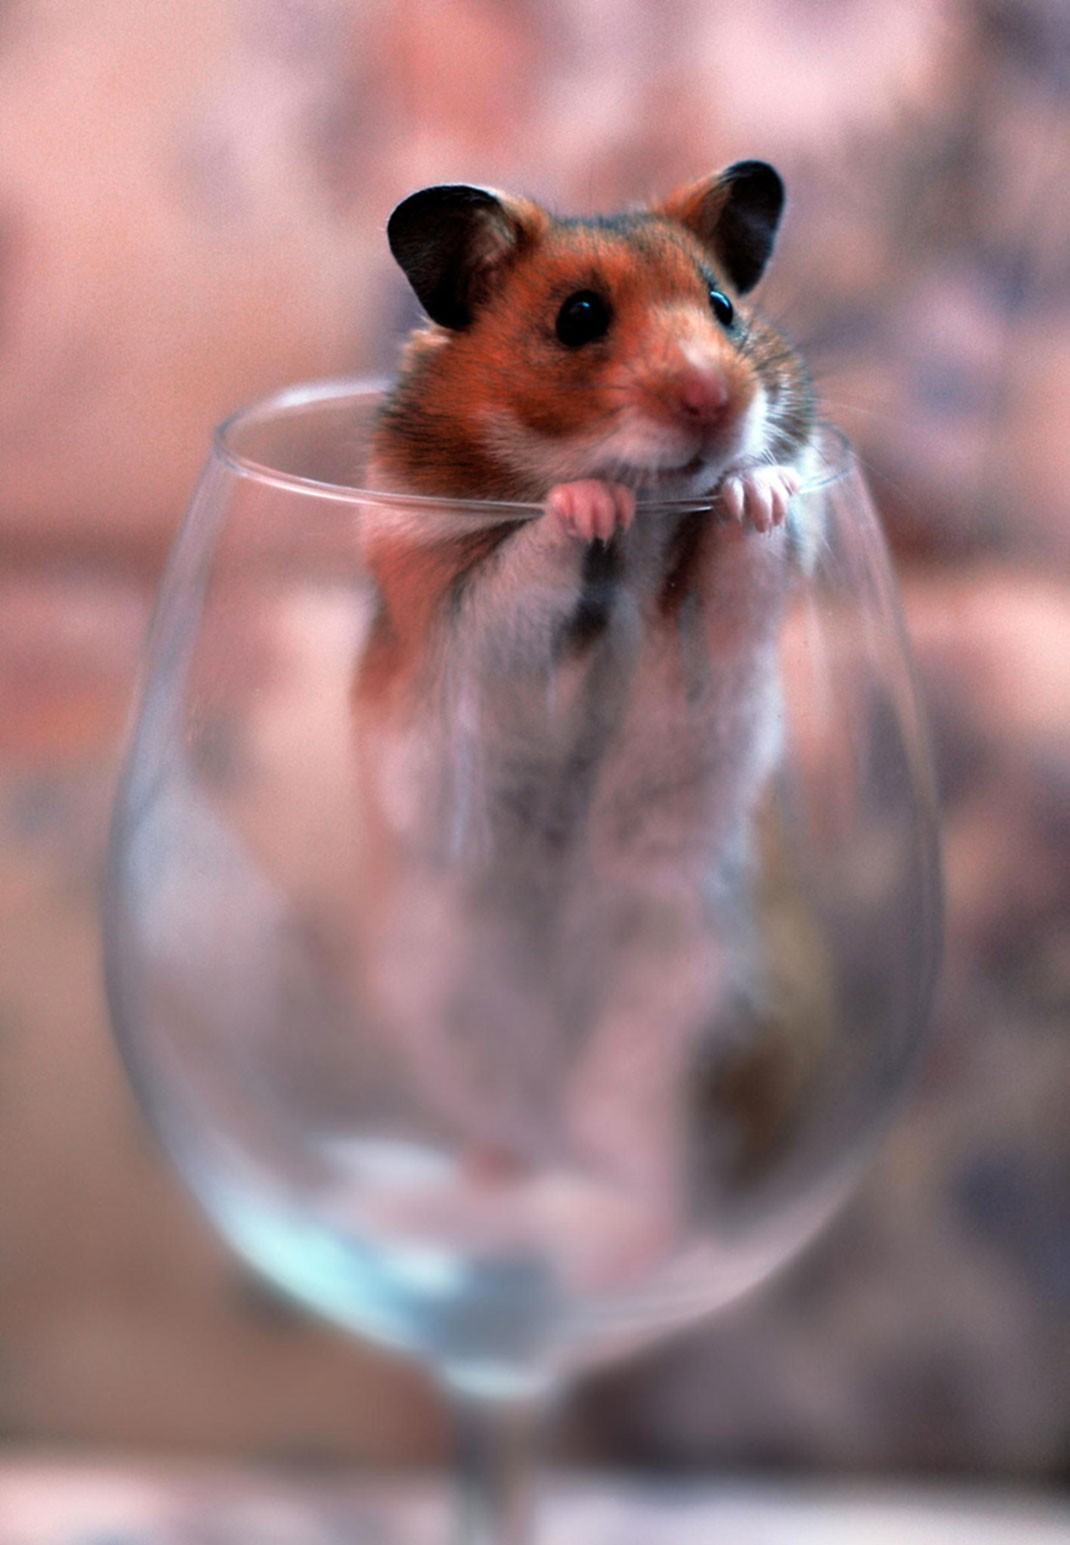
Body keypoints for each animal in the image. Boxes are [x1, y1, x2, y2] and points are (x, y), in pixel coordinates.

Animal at [349, 165, 823, 1262]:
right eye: (578, 317)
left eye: (722, 305)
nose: (715, 401)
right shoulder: (463, 613)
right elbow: (534, 558)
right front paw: (588, 505)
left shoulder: (728, 615)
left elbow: (744, 550)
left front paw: (757, 485)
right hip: (449, 1020)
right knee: (511, 1135)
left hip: (677, 1044)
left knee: (659, 1180)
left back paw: (619, 1249)